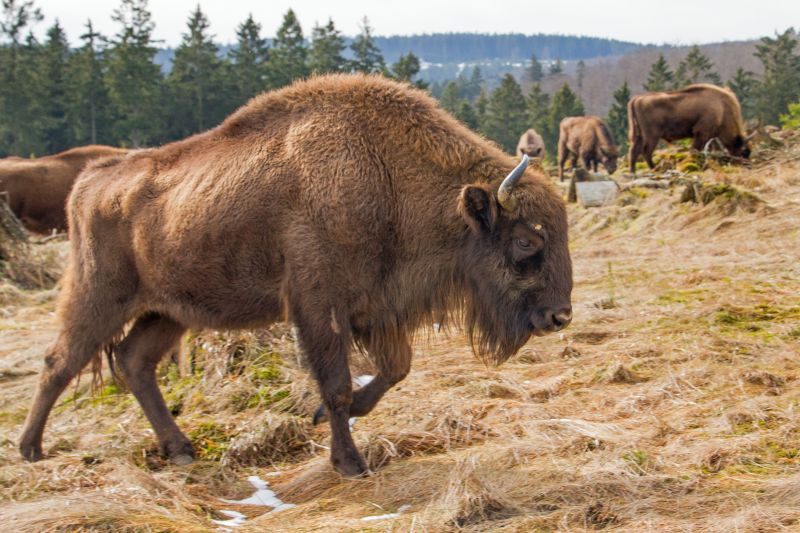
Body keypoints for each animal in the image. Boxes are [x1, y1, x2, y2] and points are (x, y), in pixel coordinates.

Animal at [15, 74, 572, 474]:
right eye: (527, 241)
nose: (560, 316)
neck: (386, 174)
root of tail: (90, 181)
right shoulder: (319, 307)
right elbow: (338, 381)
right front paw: (349, 462)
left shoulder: (378, 310)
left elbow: (395, 370)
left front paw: (327, 418)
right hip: (99, 297)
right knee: (59, 361)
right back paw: (30, 449)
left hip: (168, 311)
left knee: (134, 362)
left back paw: (180, 449)